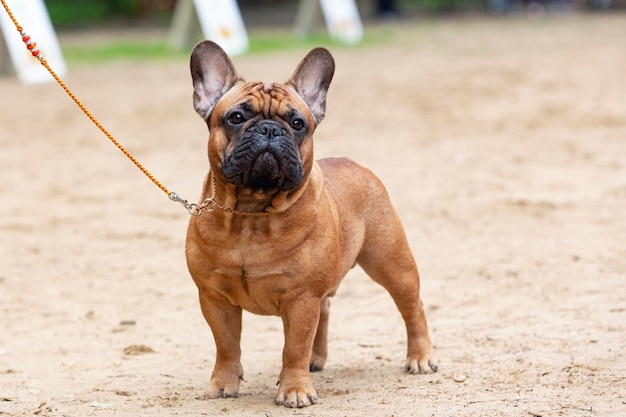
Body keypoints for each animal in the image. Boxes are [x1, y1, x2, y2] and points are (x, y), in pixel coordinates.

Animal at [186, 41, 434, 406]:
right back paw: (317, 360)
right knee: (326, 310)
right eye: (236, 118)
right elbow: (227, 346)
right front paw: (222, 385)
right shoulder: (214, 297)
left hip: (391, 263)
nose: (270, 129)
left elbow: (294, 347)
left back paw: (420, 357)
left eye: (297, 123)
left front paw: (295, 390)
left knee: (412, 306)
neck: (252, 213)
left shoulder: (301, 298)